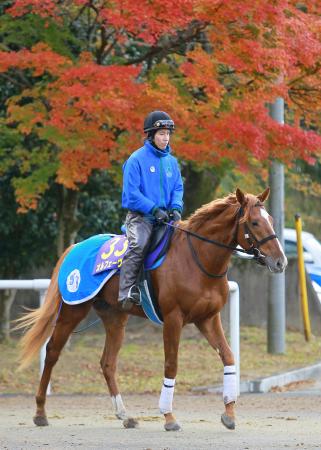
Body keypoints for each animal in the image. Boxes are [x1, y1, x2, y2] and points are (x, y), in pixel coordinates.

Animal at [15, 187, 286, 432]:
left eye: (271, 220)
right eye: (254, 222)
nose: (280, 261)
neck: (197, 259)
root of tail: (76, 246)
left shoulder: (208, 318)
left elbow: (228, 356)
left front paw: (229, 412)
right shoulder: (173, 319)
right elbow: (171, 365)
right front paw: (168, 416)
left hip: (115, 318)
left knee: (108, 363)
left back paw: (125, 415)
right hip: (73, 310)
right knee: (52, 352)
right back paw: (40, 412)